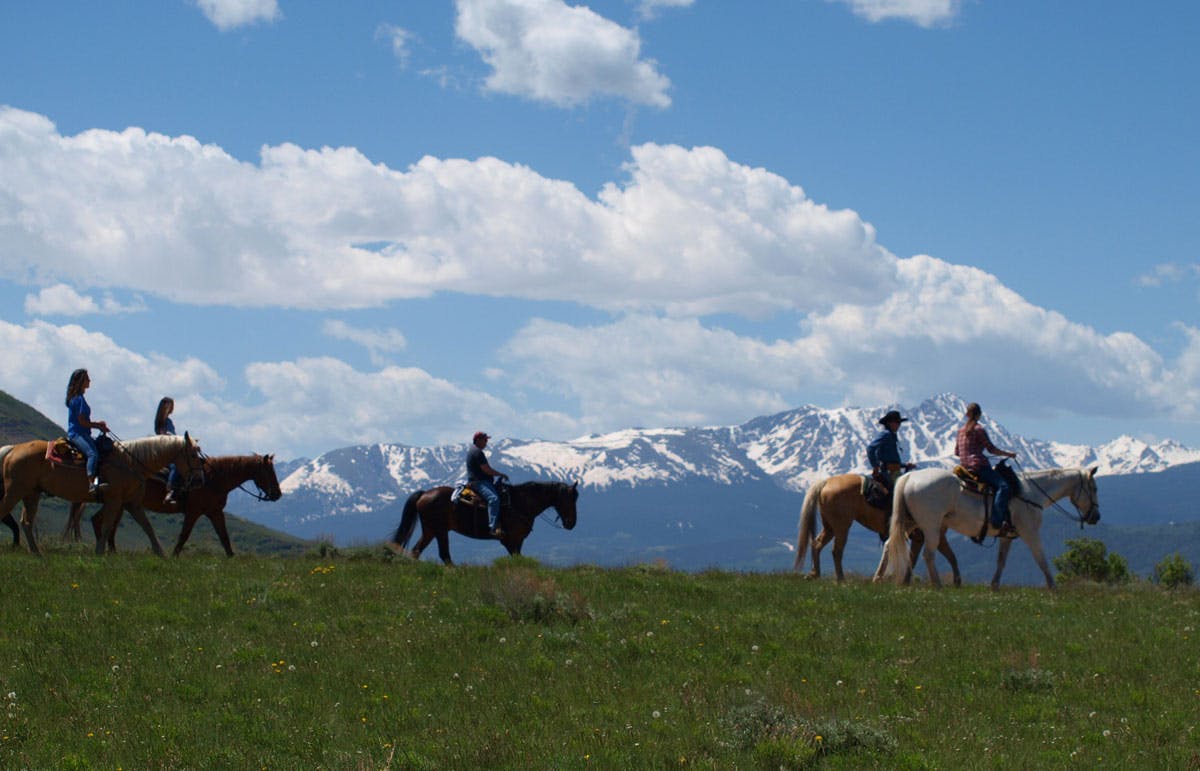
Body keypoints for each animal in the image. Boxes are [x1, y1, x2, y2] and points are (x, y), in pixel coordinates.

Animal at [0, 432, 202, 552]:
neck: (130, 462)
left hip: (31, 494)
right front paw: (99, 554)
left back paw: (37, 553)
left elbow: (148, 527)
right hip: (15, 491)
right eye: (193, 454)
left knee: (26, 522)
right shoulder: (114, 500)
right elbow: (106, 527)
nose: (199, 480)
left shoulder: (132, 504)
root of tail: (13, 448)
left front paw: (162, 555)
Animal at [63, 451, 283, 552]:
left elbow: (225, 539)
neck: (214, 479)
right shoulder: (194, 512)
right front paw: (174, 557)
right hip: (118, 504)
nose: (278, 494)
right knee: (102, 523)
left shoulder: (214, 512)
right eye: (270, 472)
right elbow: (183, 537)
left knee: (103, 524)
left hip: (120, 505)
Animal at [388, 480, 576, 564]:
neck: (520, 503)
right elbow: (517, 559)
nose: (571, 523)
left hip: (430, 530)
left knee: (416, 551)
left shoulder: (517, 541)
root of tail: (424, 493)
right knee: (444, 554)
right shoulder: (511, 540)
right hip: (440, 530)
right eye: (569, 498)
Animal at [792, 470, 960, 586]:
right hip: (842, 527)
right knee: (836, 551)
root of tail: (826, 482)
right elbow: (950, 556)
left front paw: (904, 582)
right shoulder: (935, 536)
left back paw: (814, 574)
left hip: (830, 527)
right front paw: (957, 581)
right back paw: (841, 579)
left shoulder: (920, 538)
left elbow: (914, 559)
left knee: (817, 544)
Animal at [878, 461, 1099, 588]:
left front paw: (994, 586)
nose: (1095, 517)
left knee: (890, 544)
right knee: (928, 554)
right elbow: (1041, 559)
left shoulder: (1007, 536)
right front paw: (1053, 587)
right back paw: (937, 584)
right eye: (1094, 488)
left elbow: (1001, 561)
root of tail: (909, 477)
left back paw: (880, 577)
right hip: (930, 526)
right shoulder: (1030, 532)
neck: (1031, 493)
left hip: (909, 522)